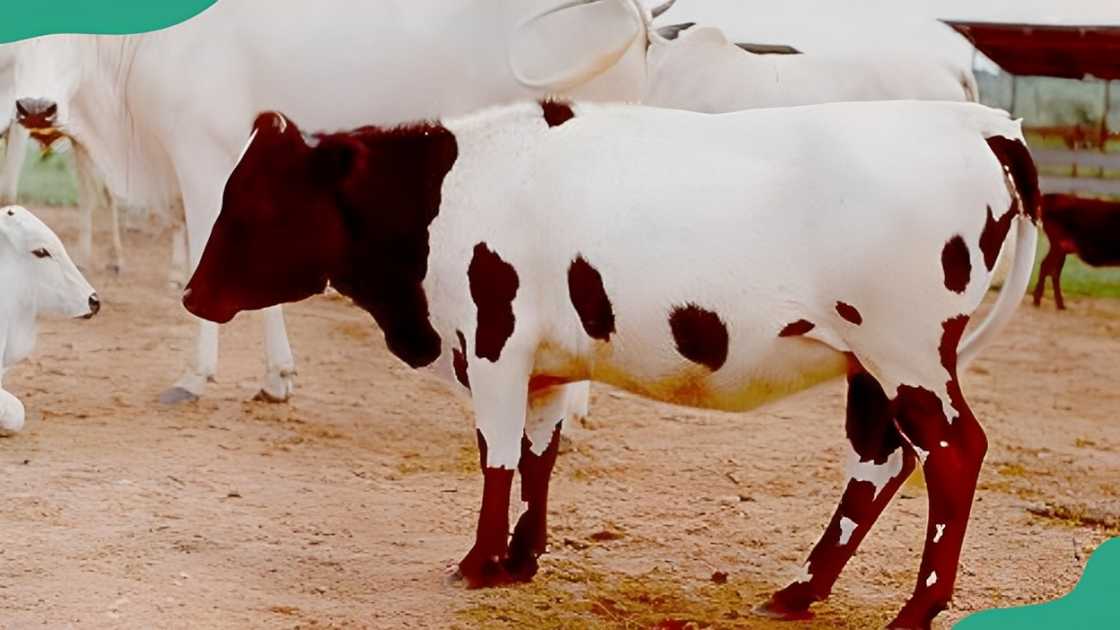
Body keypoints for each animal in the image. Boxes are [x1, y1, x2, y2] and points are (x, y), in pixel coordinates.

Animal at [181, 99, 1039, 628]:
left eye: (255, 206)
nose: (192, 293)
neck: (449, 195)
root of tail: (978, 121)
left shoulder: (493, 343)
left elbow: (496, 455)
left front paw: (477, 563)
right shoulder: (547, 363)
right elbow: (539, 454)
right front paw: (520, 559)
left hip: (907, 351)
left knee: (953, 453)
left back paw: (917, 608)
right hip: (872, 362)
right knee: (882, 461)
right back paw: (799, 592)